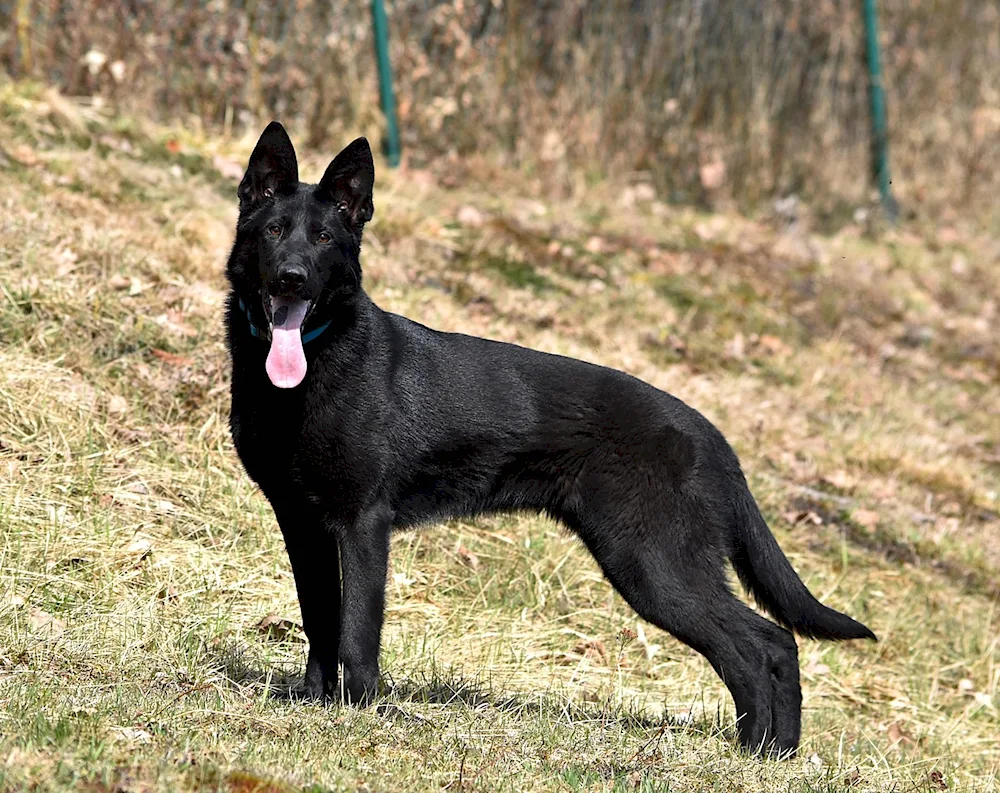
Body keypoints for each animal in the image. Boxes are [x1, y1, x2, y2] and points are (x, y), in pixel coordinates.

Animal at [227, 122, 876, 756]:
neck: (309, 368)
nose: (292, 278)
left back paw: (762, 754)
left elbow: (357, 630)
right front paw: (313, 702)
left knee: (765, 644)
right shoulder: (301, 522)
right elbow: (319, 619)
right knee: (766, 646)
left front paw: (361, 713)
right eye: (275, 231)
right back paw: (768, 755)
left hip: (654, 566)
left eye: (324, 240)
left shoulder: (363, 524)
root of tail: (713, 436)